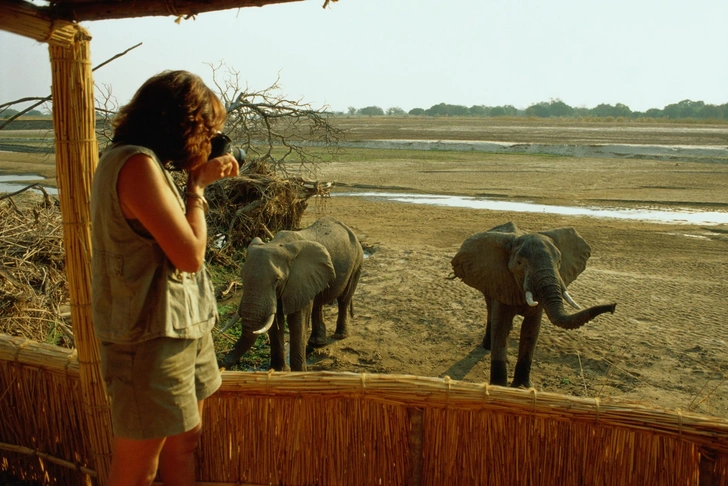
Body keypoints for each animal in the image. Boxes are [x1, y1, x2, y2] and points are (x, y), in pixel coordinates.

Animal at [218, 216, 362, 372]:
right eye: (241, 276)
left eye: (276, 280)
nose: (221, 364)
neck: (278, 244)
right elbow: (276, 320)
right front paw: (279, 371)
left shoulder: (298, 279)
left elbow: (297, 321)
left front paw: (298, 373)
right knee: (318, 303)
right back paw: (317, 343)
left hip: (357, 262)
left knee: (344, 299)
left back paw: (340, 336)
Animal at [452, 223, 616, 388]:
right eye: (519, 263)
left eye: (559, 262)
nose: (613, 306)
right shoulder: (500, 280)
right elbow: (500, 327)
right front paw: (499, 387)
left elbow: (532, 329)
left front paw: (523, 386)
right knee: (490, 309)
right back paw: (487, 346)